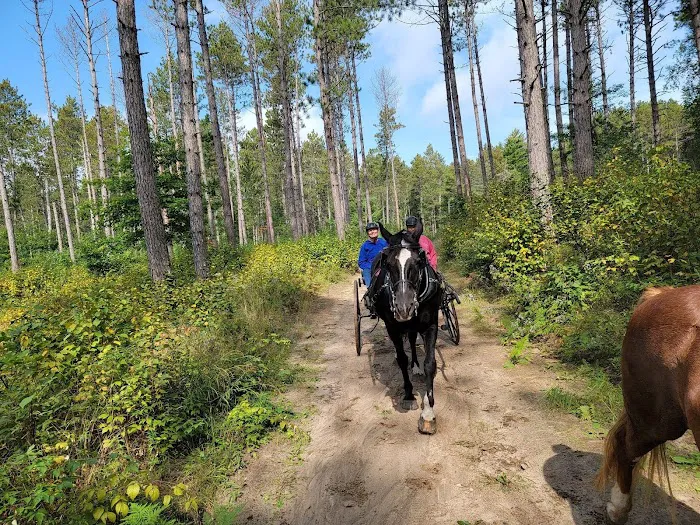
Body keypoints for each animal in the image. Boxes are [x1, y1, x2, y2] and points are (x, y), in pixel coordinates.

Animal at [370, 220, 443, 434]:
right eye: (388, 264)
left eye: (419, 262)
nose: (404, 307)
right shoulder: (392, 327)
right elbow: (402, 359)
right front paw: (409, 394)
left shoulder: (430, 326)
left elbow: (430, 364)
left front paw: (428, 412)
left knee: (411, 339)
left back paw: (415, 366)